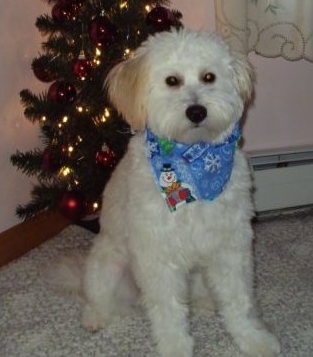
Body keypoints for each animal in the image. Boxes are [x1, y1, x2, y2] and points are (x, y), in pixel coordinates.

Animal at [72, 28, 278, 356]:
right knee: (99, 299)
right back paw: (95, 317)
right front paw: (176, 347)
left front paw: (251, 338)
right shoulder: (158, 257)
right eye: (172, 80)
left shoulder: (230, 247)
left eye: (209, 77)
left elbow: (238, 302)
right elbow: (169, 313)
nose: (196, 111)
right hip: (108, 266)